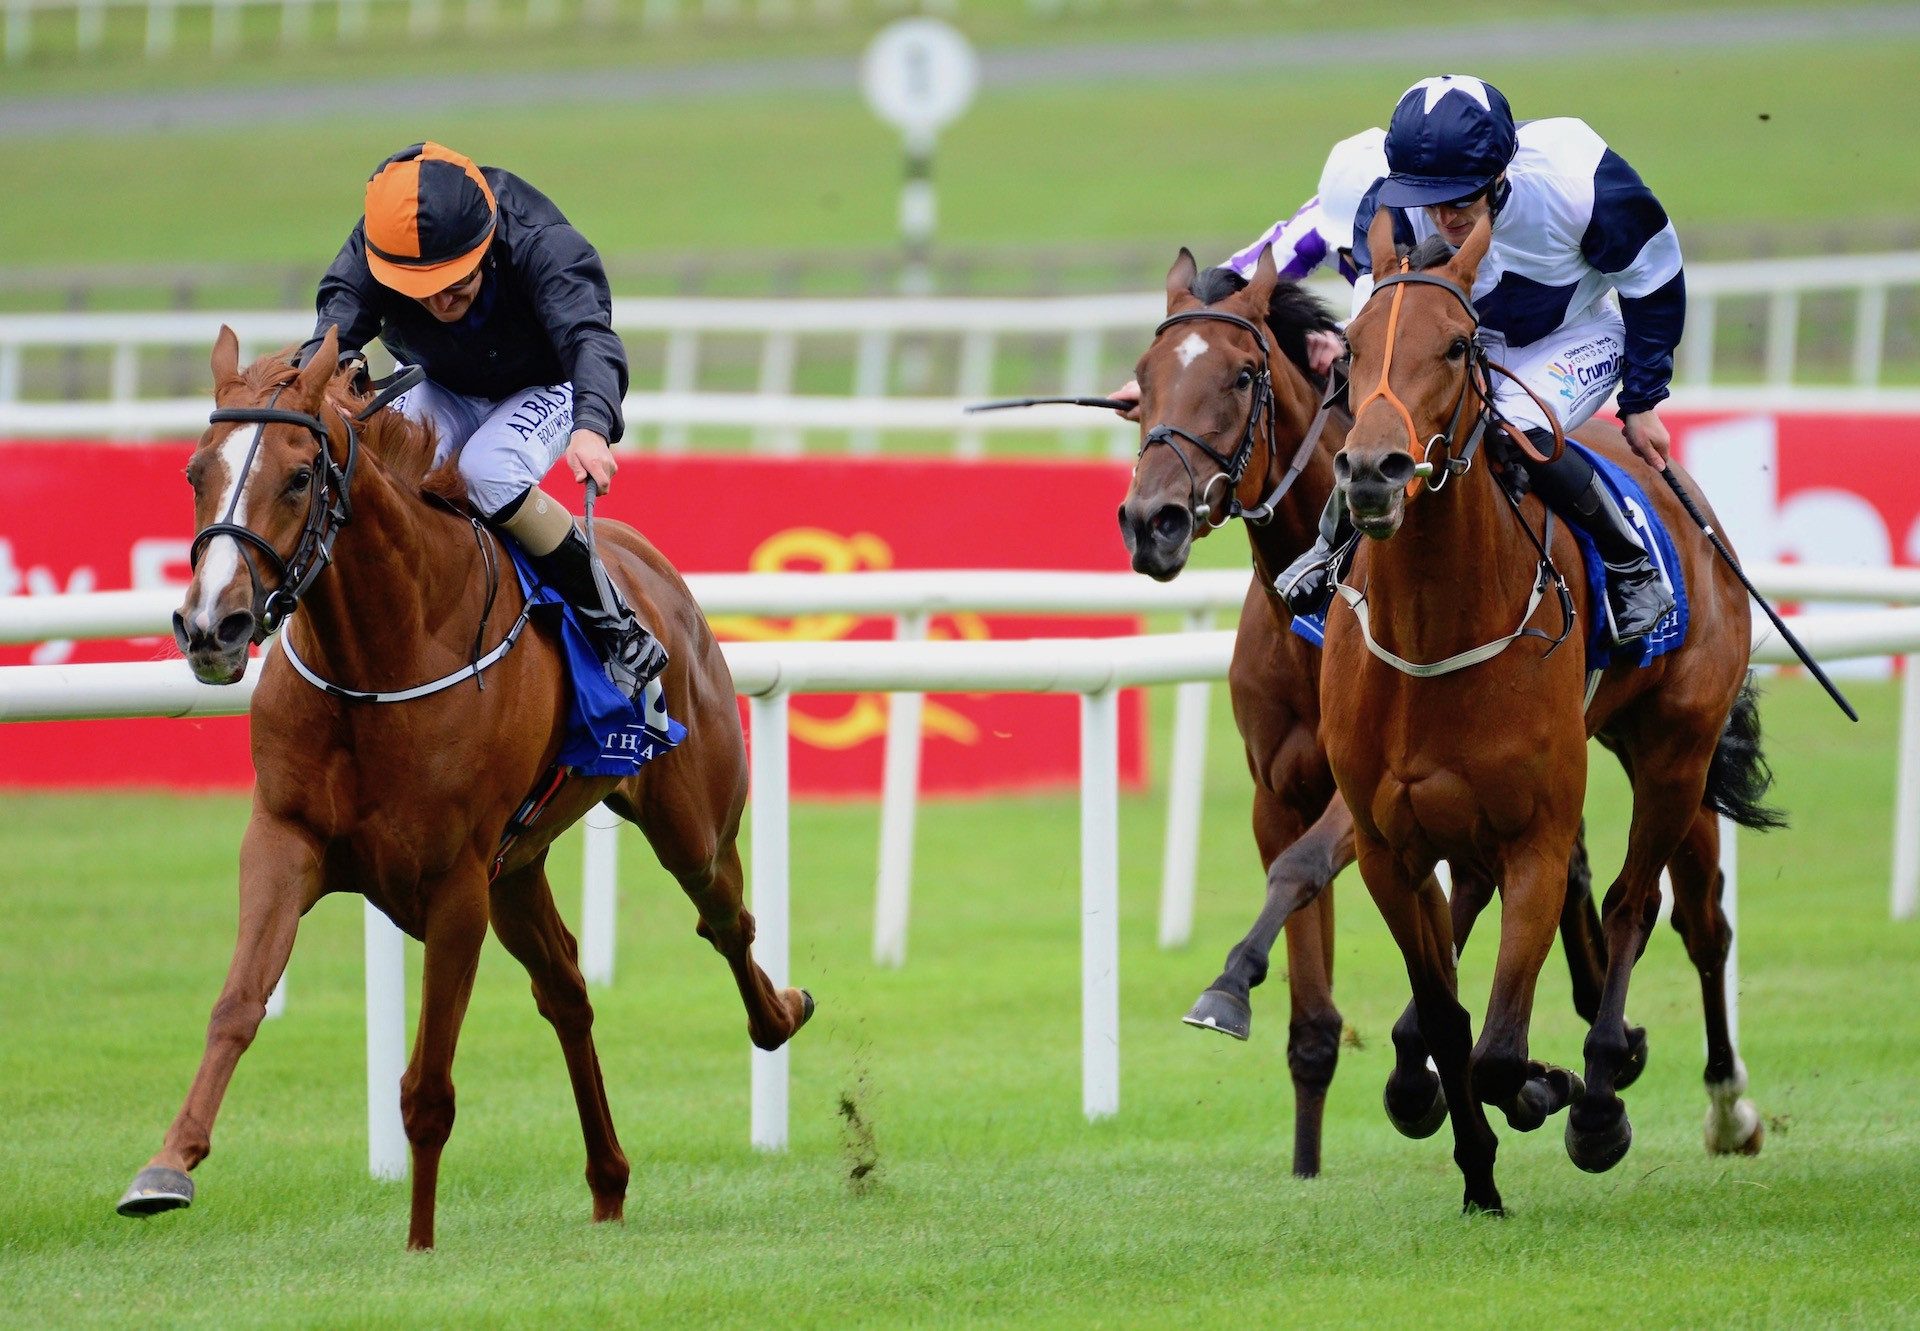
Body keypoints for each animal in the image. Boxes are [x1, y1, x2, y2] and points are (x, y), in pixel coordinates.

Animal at [120, 330, 810, 1244]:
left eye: (299, 477)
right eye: (196, 470)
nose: (210, 627)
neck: (382, 658)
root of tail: (649, 562)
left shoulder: (453, 886)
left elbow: (427, 1088)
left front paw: (419, 1243)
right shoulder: (285, 838)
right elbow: (237, 1003)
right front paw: (167, 1164)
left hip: (687, 822)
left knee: (726, 919)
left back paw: (780, 1013)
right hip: (516, 870)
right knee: (567, 990)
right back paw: (608, 1181)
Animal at [1113, 245, 1635, 1175]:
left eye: (1242, 374)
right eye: (1143, 379)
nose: (1153, 520)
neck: (1314, 612)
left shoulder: (1355, 802)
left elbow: (1302, 870)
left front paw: (1228, 983)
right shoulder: (1280, 791)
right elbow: (1312, 1014)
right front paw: (1305, 1159)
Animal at [1328, 210, 1774, 1213]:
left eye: (1457, 346)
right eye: (1352, 346)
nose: (1373, 469)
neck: (1434, 638)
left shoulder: (1531, 830)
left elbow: (1498, 1046)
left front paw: (1555, 1087)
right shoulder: (1390, 849)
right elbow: (1449, 1021)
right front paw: (1479, 1179)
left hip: (1675, 752)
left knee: (1649, 906)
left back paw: (1627, 1090)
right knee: (1672, 910)